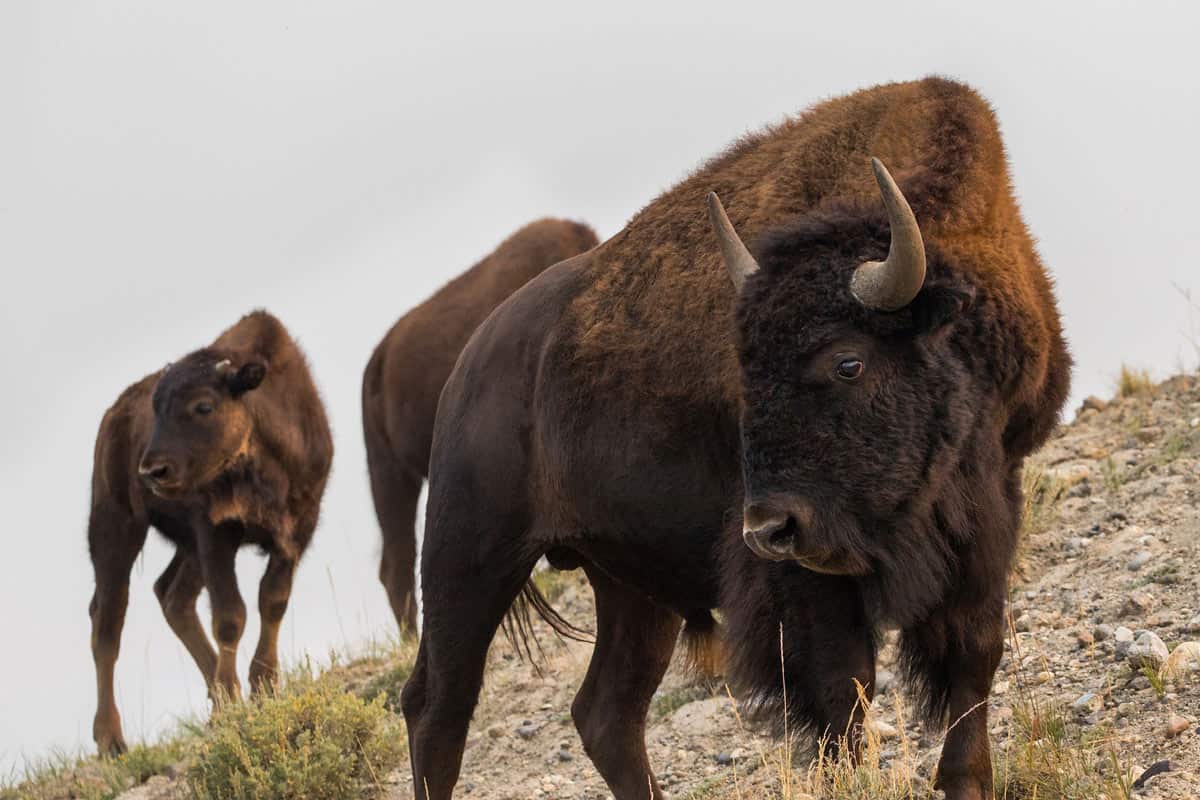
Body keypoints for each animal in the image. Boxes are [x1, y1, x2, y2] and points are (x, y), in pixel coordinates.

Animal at [87, 311, 333, 758]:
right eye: (157, 409)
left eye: (204, 405)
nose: (152, 471)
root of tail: (113, 416)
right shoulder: (215, 535)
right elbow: (230, 616)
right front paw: (234, 700)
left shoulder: (296, 531)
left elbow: (272, 601)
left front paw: (261, 687)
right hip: (115, 529)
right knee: (108, 624)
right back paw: (112, 741)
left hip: (185, 551)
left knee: (172, 596)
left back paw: (218, 696)